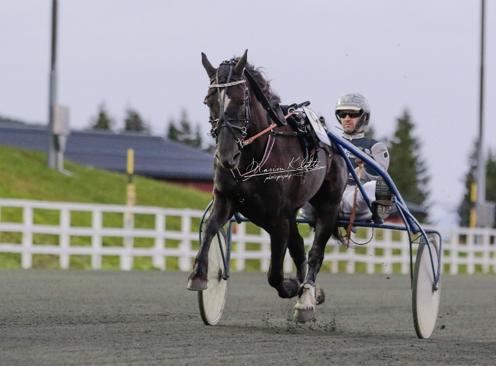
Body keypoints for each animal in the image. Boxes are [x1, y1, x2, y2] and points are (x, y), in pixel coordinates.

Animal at [188, 50, 346, 320]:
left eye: (241, 101)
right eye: (209, 101)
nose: (226, 156)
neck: (252, 155)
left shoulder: (278, 218)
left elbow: (275, 275)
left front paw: (293, 287)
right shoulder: (226, 199)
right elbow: (209, 229)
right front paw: (199, 275)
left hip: (329, 204)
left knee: (315, 252)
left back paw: (306, 297)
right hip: (292, 211)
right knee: (299, 247)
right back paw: (312, 292)